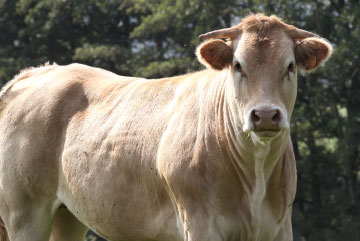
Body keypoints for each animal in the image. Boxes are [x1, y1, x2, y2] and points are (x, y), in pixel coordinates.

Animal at [0, 13, 332, 241]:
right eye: (238, 65)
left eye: (290, 66)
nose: (264, 115)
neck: (255, 176)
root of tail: (38, 72)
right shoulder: (199, 224)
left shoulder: (279, 226)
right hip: (24, 212)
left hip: (67, 215)